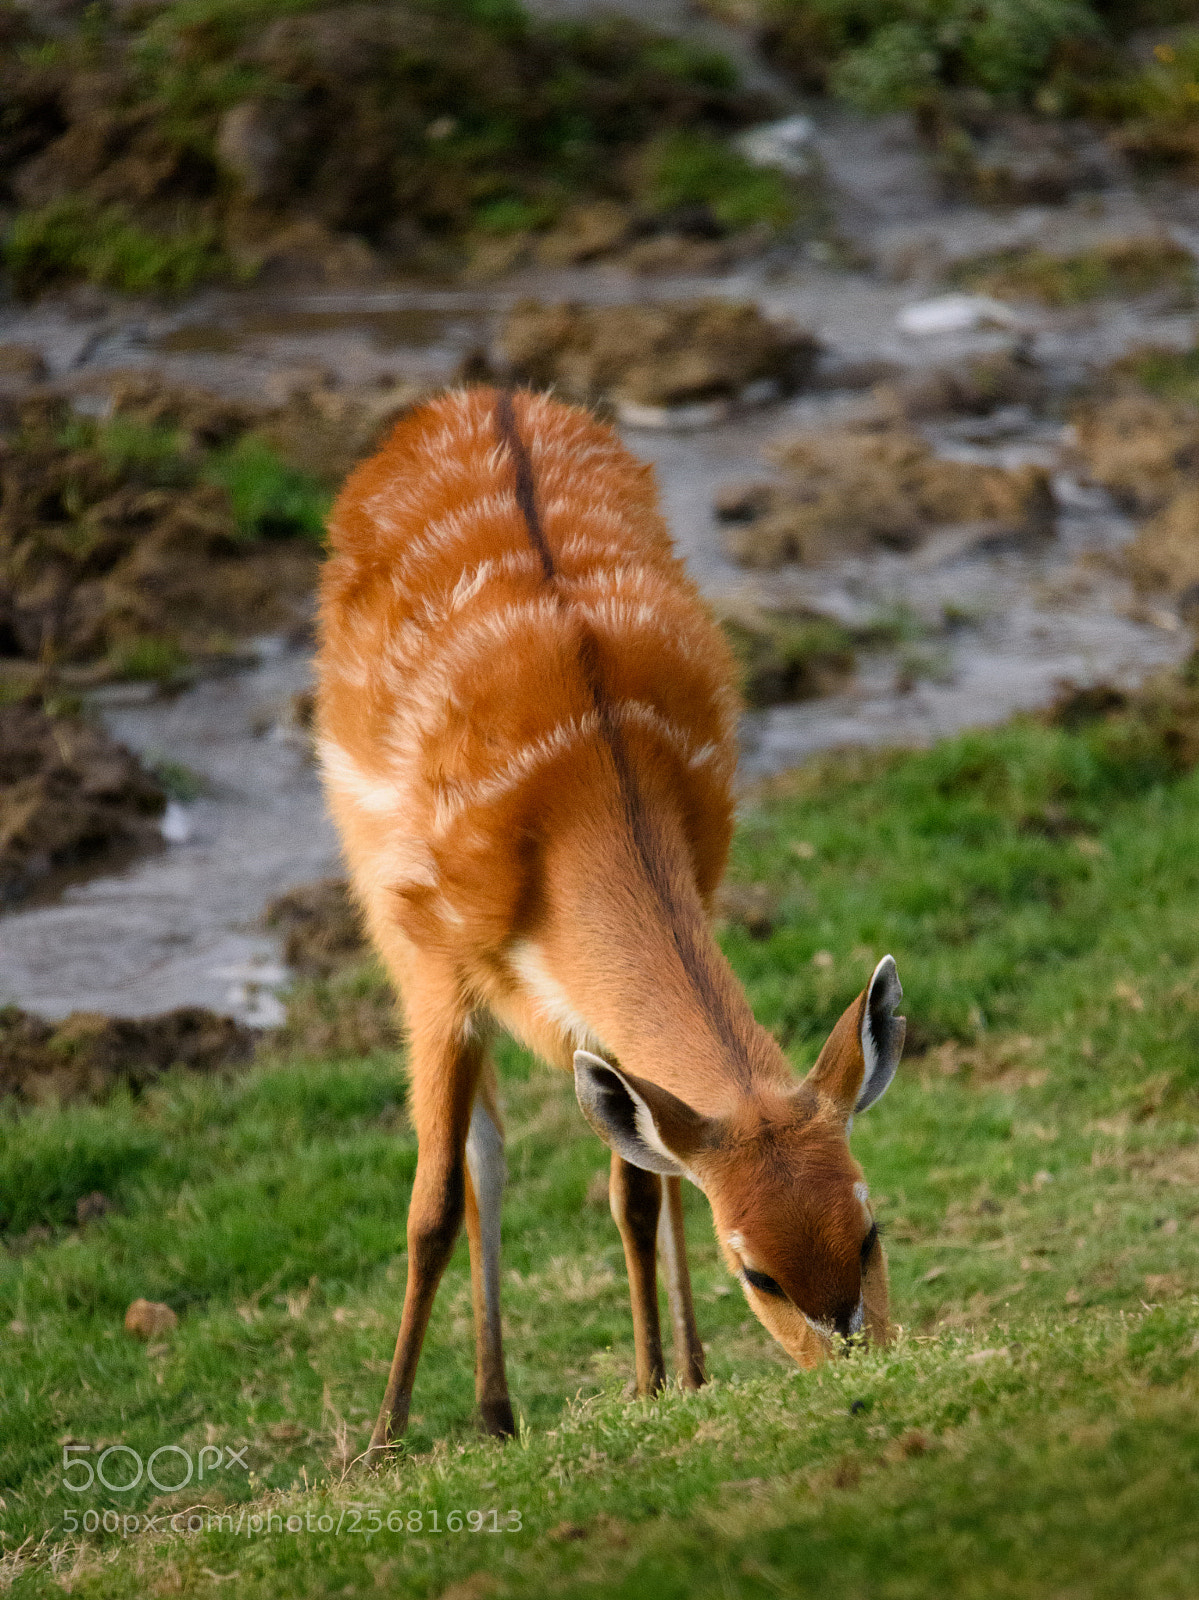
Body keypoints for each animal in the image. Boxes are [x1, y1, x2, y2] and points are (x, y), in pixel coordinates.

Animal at [315, 386, 906, 1462]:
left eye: (868, 1228)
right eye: (756, 1270)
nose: (864, 1363)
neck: (586, 775)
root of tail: (476, 395)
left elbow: (637, 1179)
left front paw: (658, 1381)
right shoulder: (435, 967)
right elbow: (431, 1205)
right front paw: (381, 1444)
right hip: (389, 918)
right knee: (480, 1160)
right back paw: (487, 1412)